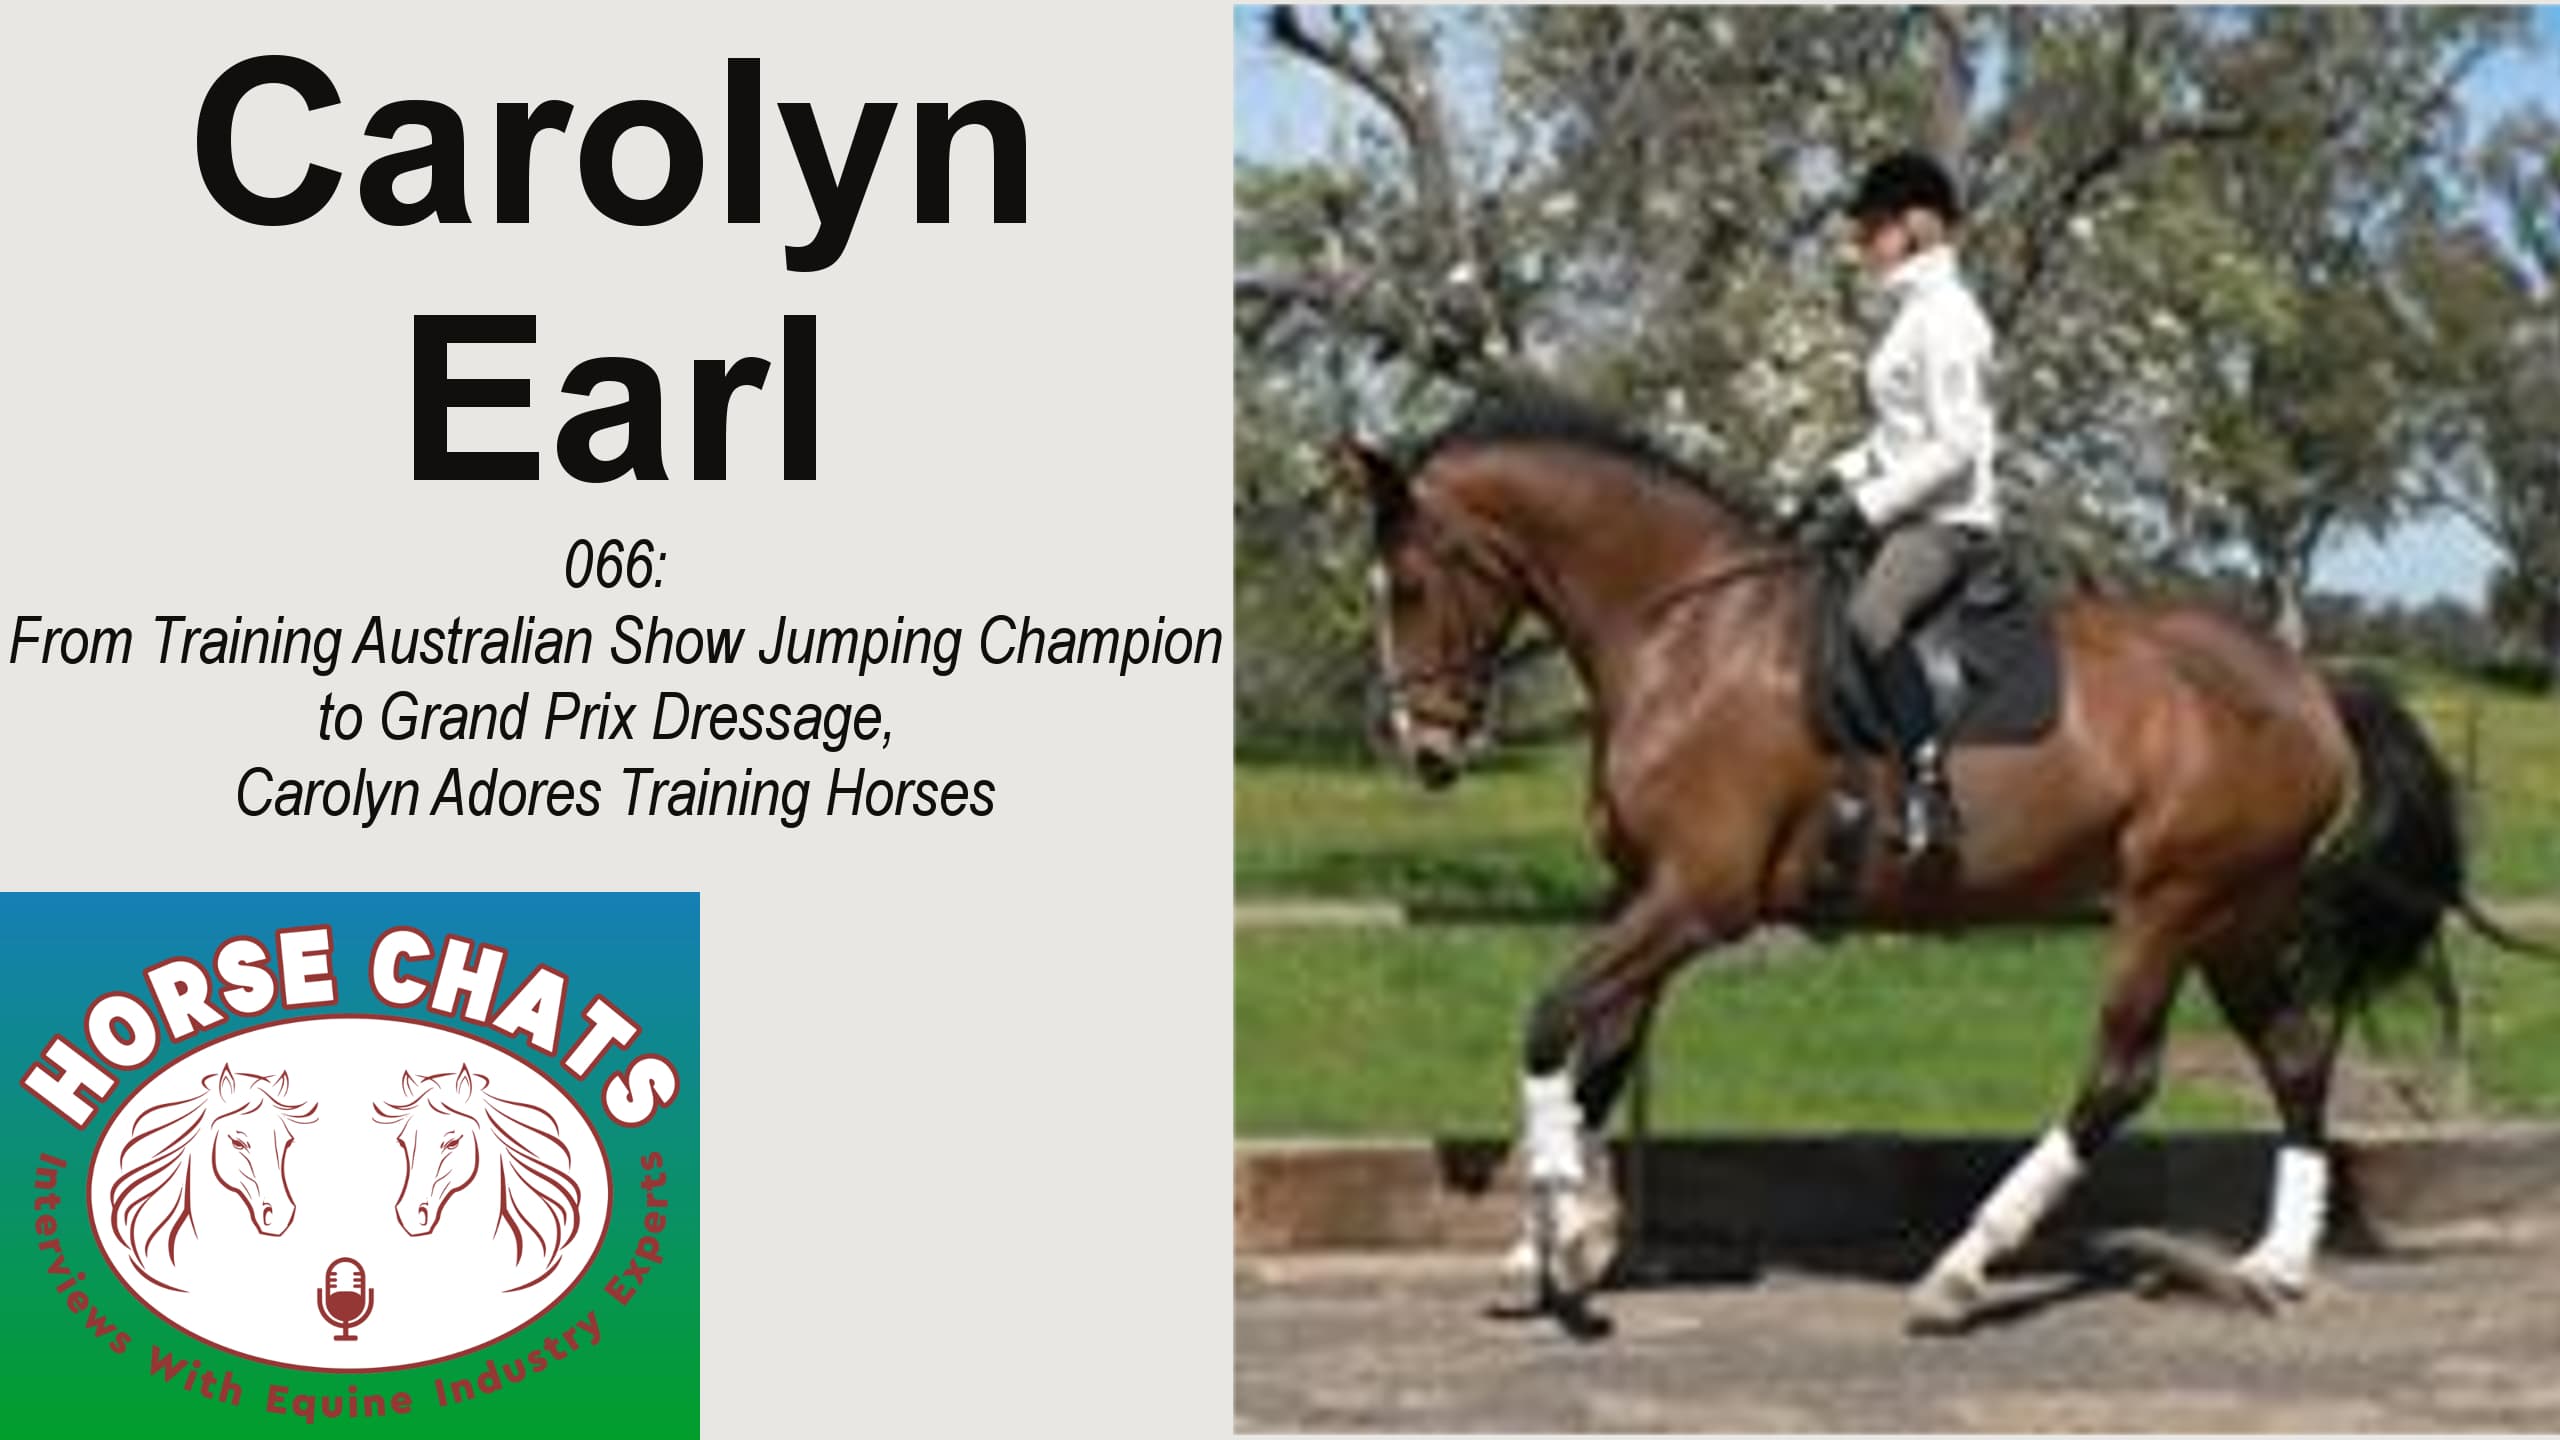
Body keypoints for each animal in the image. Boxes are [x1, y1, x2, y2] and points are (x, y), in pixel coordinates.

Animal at [1342, 398, 2541, 1333]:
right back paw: (2274, 1267)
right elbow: (1602, 1057)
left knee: (2121, 1074)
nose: (1423, 749)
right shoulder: (1642, 895)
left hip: (2170, 901)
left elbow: (1551, 1023)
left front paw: (1551, 1223)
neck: (1687, 636)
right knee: (2291, 1056)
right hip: (2237, 913)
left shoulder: (1697, 900)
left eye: (1410, 583)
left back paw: (1961, 1272)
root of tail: (2306, 682)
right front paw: (1554, 1249)